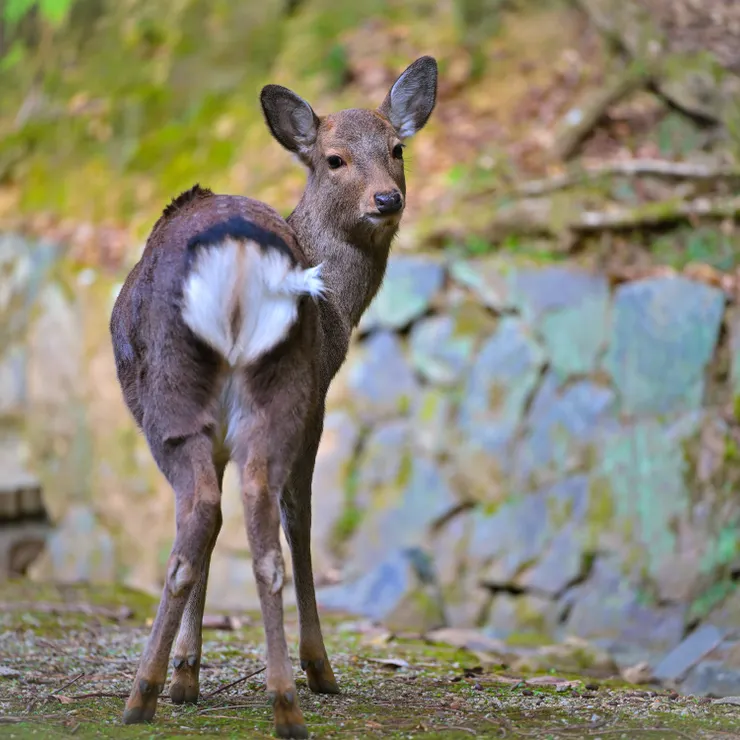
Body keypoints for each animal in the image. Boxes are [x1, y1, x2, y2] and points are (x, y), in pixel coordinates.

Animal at [107, 55, 436, 736]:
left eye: (397, 149)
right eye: (335, 158)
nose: (387, 198)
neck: (340, 312)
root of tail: (237, 265)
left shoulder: (310, 400)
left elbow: (277, 522)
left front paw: (187, 674)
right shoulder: (315, 394)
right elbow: (292, 521)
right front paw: (192, 673)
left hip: (183, 394)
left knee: (209, 511)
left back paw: (152, 692)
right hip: (264, 388)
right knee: (240, 511)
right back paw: (273, 694)